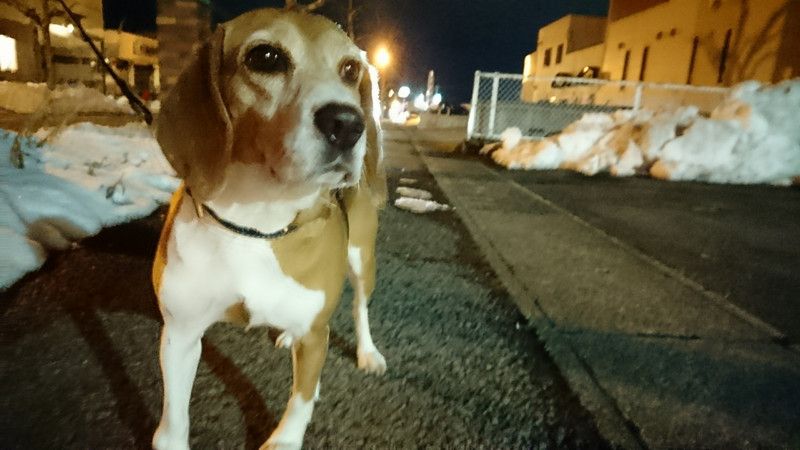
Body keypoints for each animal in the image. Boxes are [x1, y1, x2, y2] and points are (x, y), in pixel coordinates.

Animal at [151, 8, 387, 449]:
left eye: (350, 69)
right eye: (266, 57)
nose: (349, 123)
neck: (257, 223)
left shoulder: (316, 337)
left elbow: (301, 402)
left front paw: (286, 434)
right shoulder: (180, 334)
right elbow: (173, 420)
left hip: (363, 261)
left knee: (359, 309)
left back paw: (367, 353)